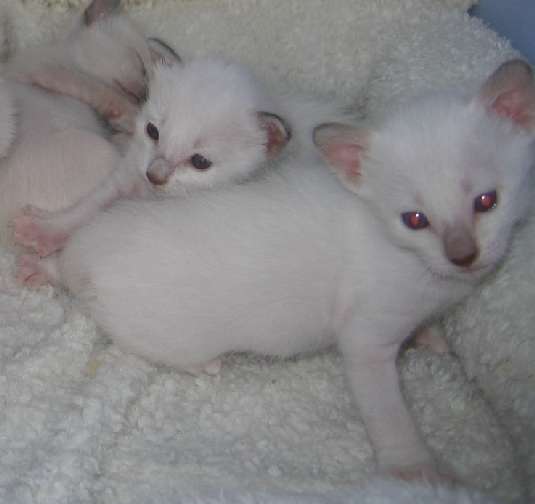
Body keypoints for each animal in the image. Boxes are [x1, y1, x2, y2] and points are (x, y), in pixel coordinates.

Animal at [16, 59, 535, 480]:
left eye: (200, 161)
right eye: (155, 132)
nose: (156, 174)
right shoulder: (126, 175)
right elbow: (89, 207)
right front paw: (44, 230)